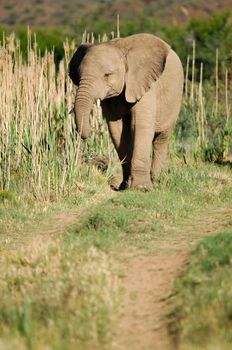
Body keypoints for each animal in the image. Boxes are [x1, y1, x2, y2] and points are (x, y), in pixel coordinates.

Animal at [68, 34, 183, 190]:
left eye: (107, 75)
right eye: (79, 76)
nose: (85, 135)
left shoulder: (144, 83)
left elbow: (140, 126)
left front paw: (141, 188)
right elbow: (116, 129)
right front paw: (125, 186)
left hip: (174, 102)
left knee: (161, 139)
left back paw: (156, 182)